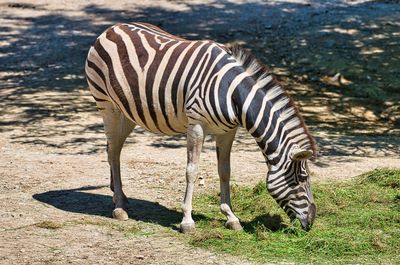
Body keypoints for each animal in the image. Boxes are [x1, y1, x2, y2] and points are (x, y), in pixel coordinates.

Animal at [86, 23, 318, 233]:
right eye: (302, 179)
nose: (311, 221)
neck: (232, 93)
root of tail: (112, 28)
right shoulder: (196, 125)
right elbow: (192, 171)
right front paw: (187, 221)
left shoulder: (228, 132)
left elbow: (225, 171)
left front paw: (231, 217)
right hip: (107, 106)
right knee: (113, 152)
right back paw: (119, 208)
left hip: (128, 112)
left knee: (112, 149)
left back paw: (120, 197)